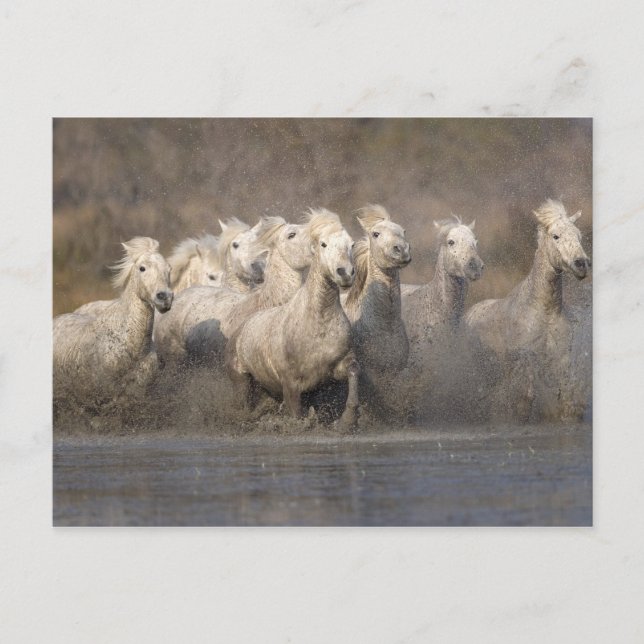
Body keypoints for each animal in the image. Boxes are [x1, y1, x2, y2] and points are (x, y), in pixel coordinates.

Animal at [226, 208, 360, 431]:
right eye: (323, 244)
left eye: (351, 244)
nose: (345, 273)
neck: (318, 322)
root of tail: (238, 331)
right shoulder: (291, 384)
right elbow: (296, 415)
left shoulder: (335, 368)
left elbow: (353, 375)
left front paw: (346, 421)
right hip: (242, 382)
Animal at [342, 205, 411, 414]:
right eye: (376, 234)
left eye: (403, 231)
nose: (402, 250)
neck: (384, 325)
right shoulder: (368, 375)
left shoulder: (395, 373)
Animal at [465, 199, 590, 422]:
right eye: (555, 236)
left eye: (579, 236)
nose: (582, 264)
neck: (544, 312)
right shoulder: (526, 359)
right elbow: (525, 400)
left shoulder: (562, 361)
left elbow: (566, 400)